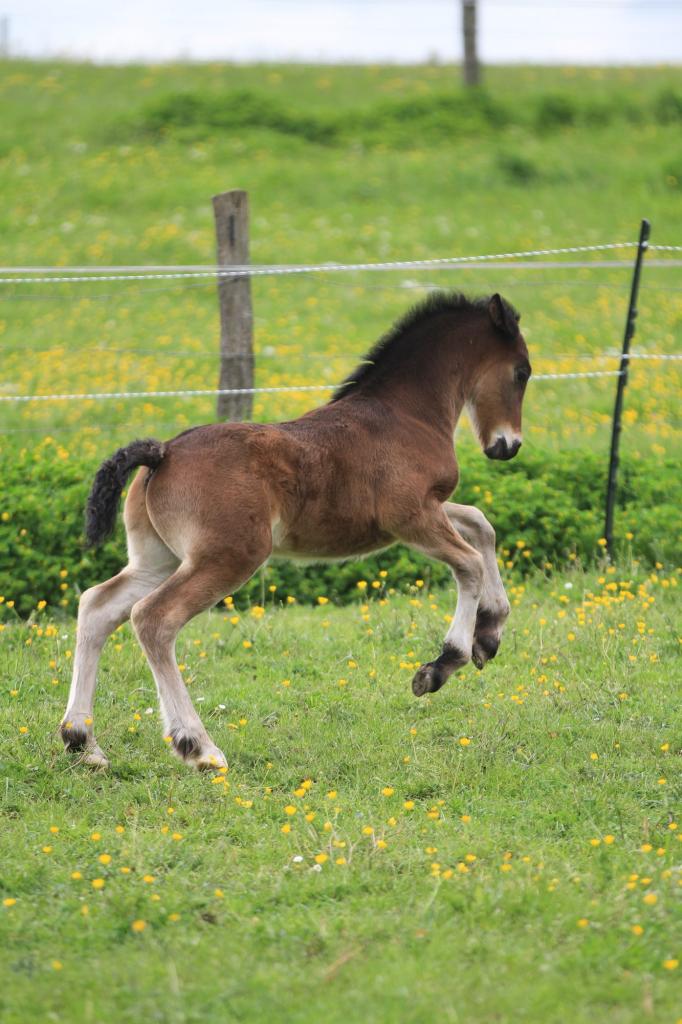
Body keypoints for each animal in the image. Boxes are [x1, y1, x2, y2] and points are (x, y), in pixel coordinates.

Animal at [62, 290, 532, 770]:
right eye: (522, 372)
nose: (507, 446)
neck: (406, 414)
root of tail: (163, 452)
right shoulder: (411, 516)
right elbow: (470, 562)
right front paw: (443, 664)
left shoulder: (427, 510)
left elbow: (481, 524)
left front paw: (489, 633)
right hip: (228, 556)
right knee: (153, 619)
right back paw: (198, 746)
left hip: (158, 558)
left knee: (97, 606)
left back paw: (83, 742)